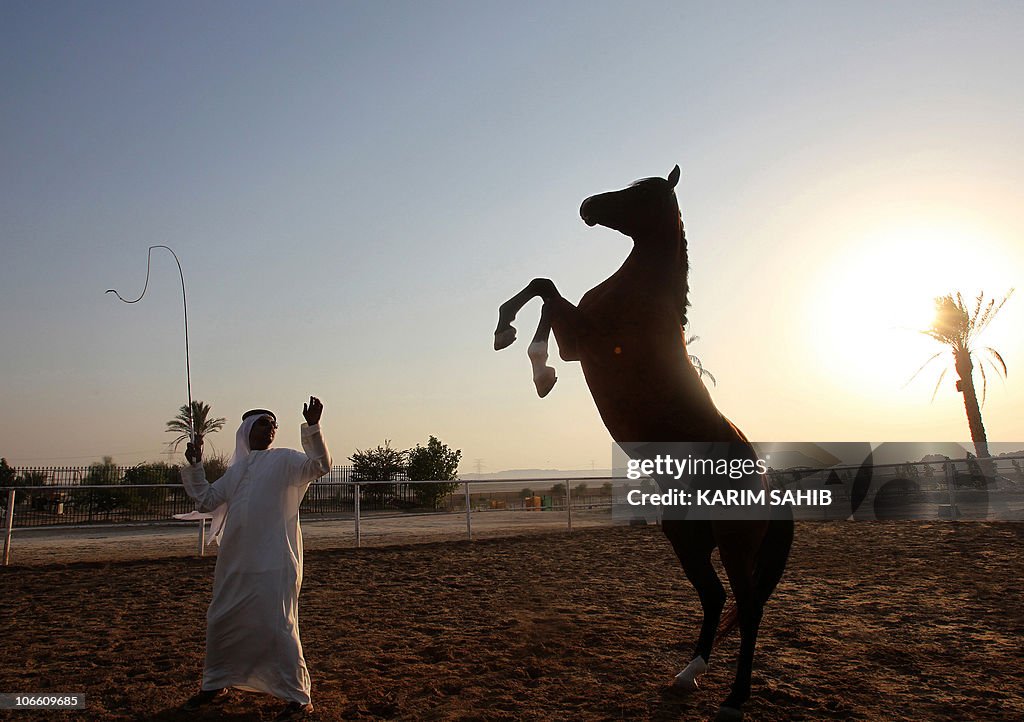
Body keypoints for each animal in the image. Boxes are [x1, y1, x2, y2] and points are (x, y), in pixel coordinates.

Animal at [494, 165, 794, 720]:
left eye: (642, 192)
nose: (588, 206)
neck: (638, 299)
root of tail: (771, 487)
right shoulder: (577, 339)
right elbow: (543, 290)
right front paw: (515, 343)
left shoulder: (584, 338)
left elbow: (546, 291)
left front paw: (531, 360)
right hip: (685, 539)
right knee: (716, 599)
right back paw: (686, 676)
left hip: (734, 546)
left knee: (747, 607)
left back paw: (734, 699)